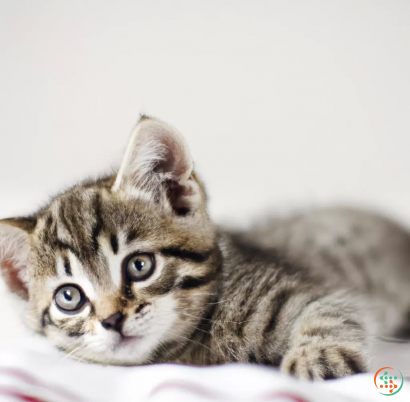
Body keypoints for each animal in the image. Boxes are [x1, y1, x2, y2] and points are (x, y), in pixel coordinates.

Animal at [0, 114, 410, 378]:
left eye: (139, 265)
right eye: (69, 297)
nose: (112, 320)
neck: (193, 346)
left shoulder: (313, 290)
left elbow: (333, 312)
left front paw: (316, 359)